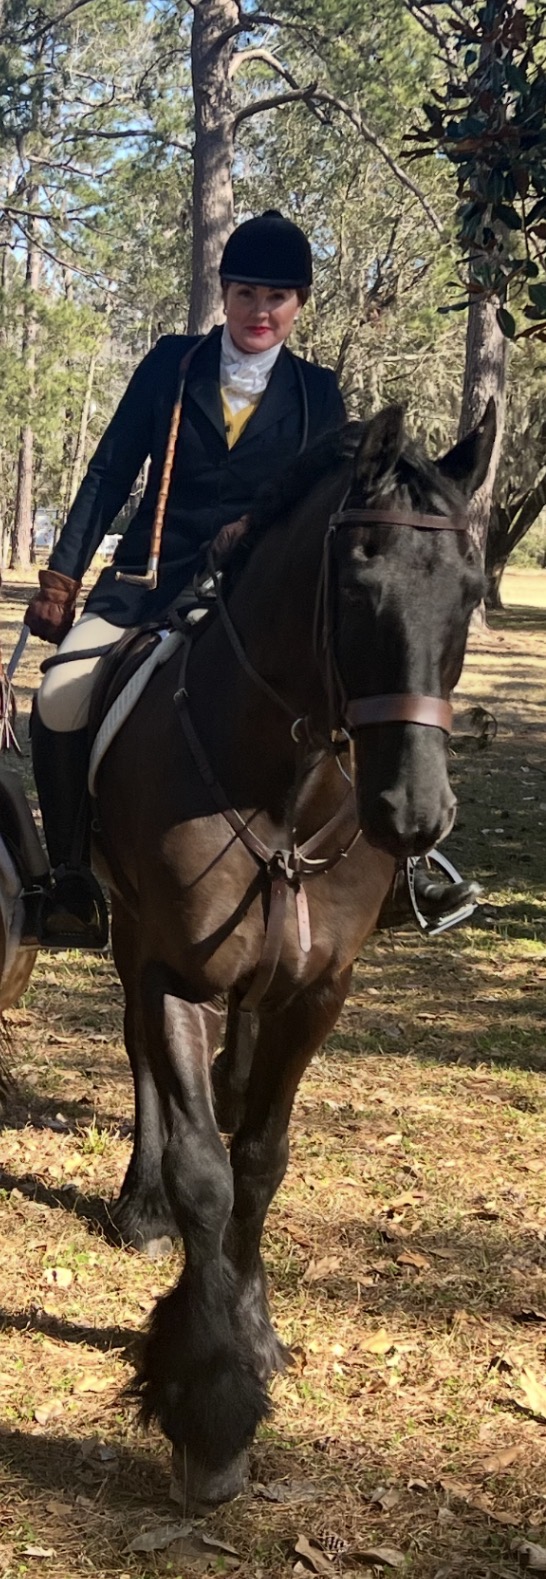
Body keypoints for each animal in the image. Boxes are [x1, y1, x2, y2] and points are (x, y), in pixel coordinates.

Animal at [90, 400, 494, 1509]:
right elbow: (205, 1173)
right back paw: (140, 1202)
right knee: (145, 1067)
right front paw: (210, 1397)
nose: (412, 812)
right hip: (129, 936)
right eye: (356, 578)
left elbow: (261, 1161)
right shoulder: (175, 973)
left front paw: (257, 1331)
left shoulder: (318, 990)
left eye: (473, 587)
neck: (281, 787)